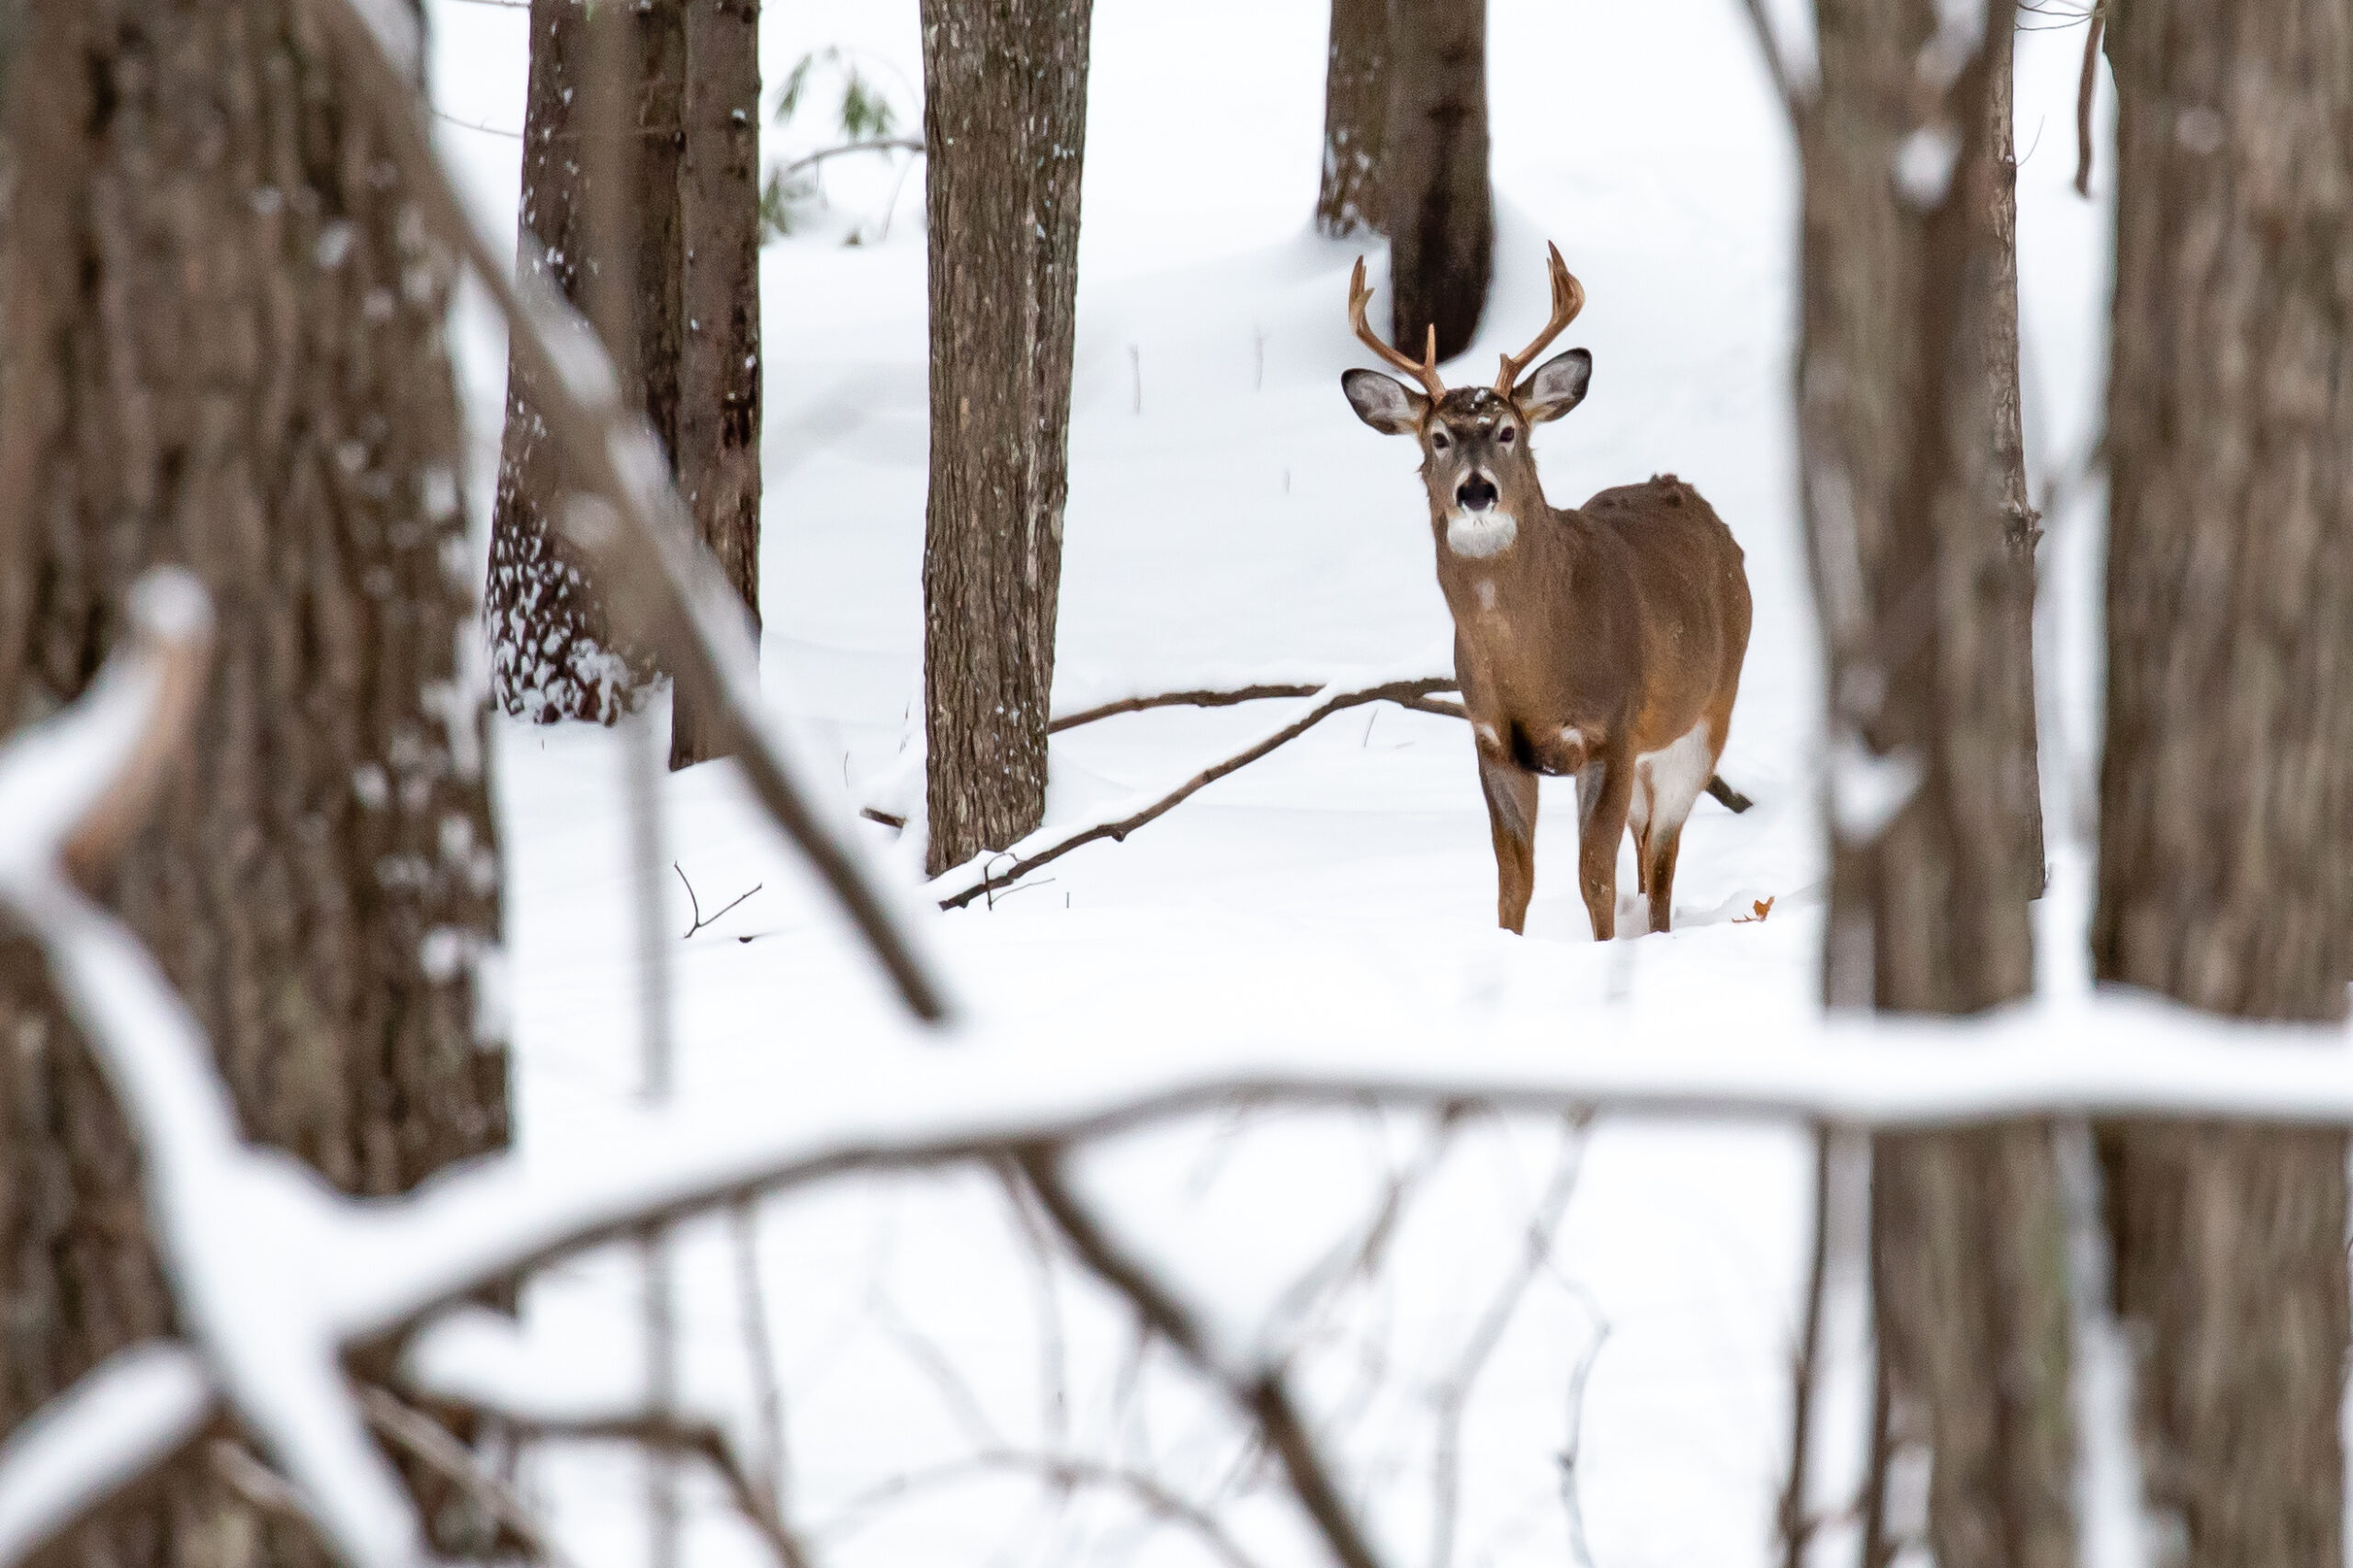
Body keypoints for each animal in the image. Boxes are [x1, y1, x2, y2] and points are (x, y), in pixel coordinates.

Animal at [1346, 242, 1750, 927]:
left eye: (1508, 432)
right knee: (1645, 847)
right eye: (1439, 438)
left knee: (1662, 856)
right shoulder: (1491, 740)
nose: (1476, 491)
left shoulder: (1610, 730)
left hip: (1704, 718)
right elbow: (1514, 882)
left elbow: (1594, 879)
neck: (1533, 667)